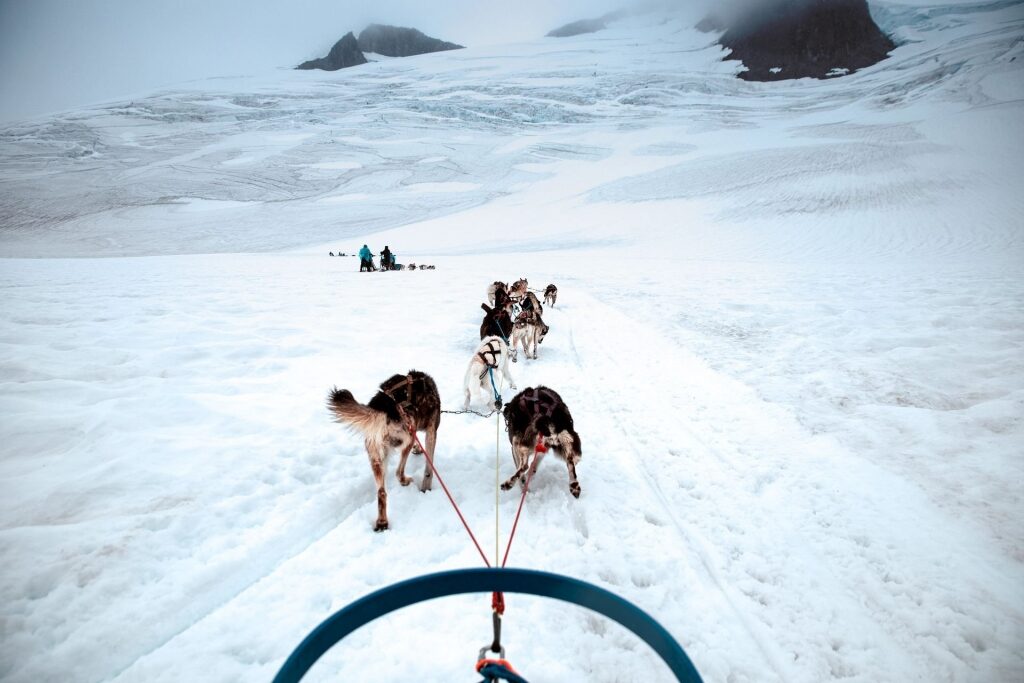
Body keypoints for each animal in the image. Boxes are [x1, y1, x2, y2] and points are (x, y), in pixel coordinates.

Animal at [327, 370, 440, 532]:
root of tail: (383, 408)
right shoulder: (431, 431)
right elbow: (428, 470)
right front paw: (426, 488)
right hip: (407, 438)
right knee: (398, 472)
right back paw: (404, 481)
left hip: (376, 456)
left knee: (381, 492)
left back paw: (382, 522)